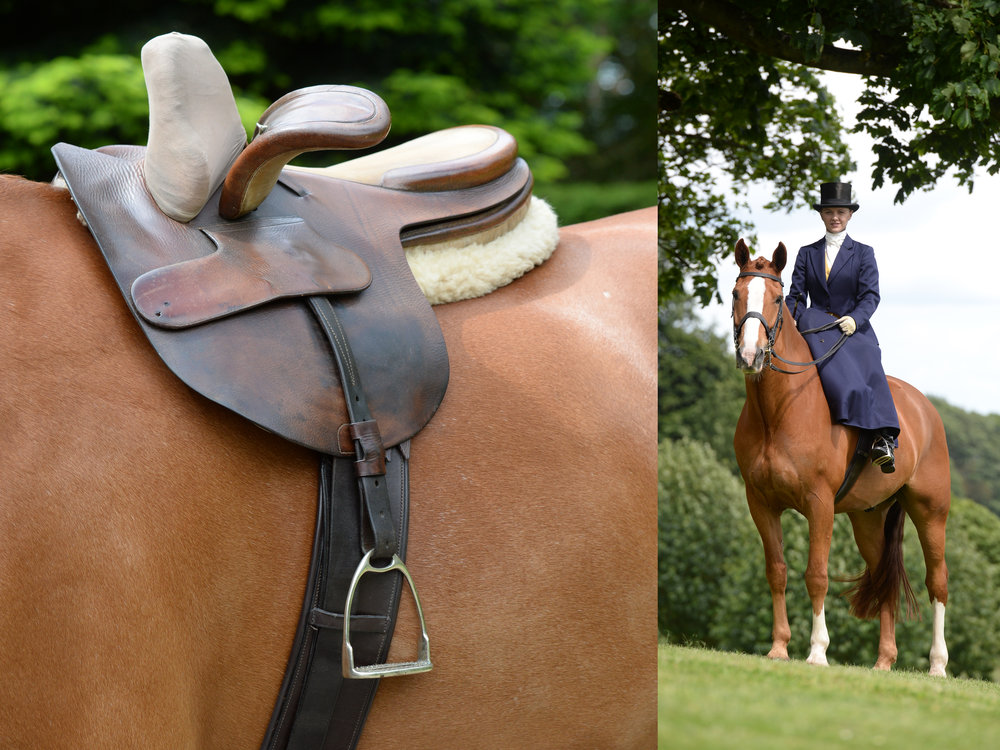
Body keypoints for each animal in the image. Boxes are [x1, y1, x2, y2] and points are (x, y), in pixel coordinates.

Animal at [731, 239, 950, 676]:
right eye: (735, 294)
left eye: (777, 299)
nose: (751, 355)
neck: (777, 413)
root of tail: (925, 408)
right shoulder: (760, 503)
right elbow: (776, 571)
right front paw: (779, 647)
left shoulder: (820, 504)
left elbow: (817, 574)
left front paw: (817, 651)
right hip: (869, 519)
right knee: (883, 580)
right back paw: (884, 661)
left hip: (931, 513)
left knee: (938, 582)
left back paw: (937, 665)